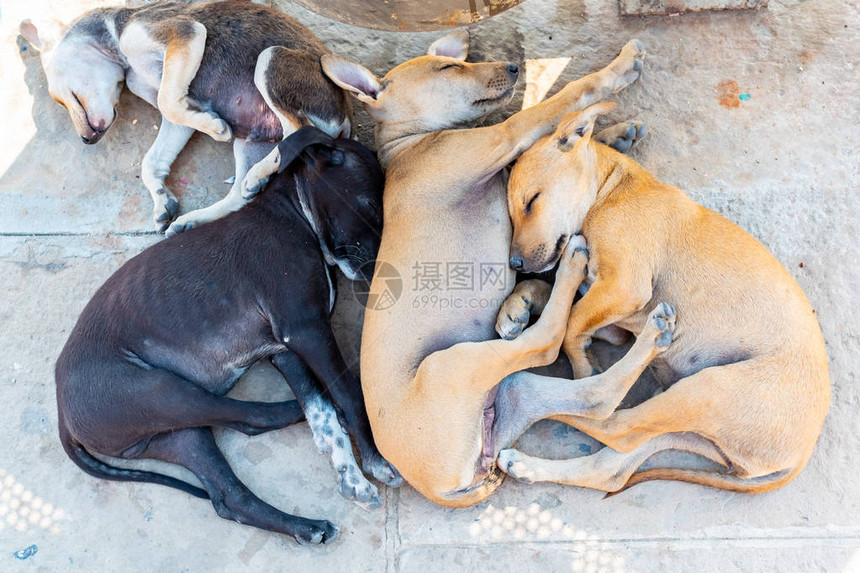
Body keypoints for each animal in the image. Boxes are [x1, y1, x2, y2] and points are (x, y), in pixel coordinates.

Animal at [20, 0, 350, 232]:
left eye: (59, 98)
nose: (86, 140)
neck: (116, 38)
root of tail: (344, 117)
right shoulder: (180, 110)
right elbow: (153, 158)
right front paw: (161, 202)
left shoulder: (185, 33)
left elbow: (167, 102)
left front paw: (215, 127)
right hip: (250, 141)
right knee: (240, 194)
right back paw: (196, 218)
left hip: (270, 61)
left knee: (298, 129)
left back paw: (258, 173)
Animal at [53, 127, 400, 544]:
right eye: (371, 204)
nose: (377, 276)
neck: (294, 215)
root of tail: (62, 414)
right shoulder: (305, 330)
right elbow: (345, 394)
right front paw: (374, 460)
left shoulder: (285, 350)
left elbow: (321, 413)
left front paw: (350, 475)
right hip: (158, 391)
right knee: (248, 416)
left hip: (175, 436)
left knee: (229, 495)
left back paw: (304, 526)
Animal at [322, 32, 652, 504]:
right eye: (446, 69)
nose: (513, 68)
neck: (411, 144)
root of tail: (440, 488)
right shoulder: (503, 137)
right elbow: (563, 100)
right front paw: (620, 70)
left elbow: (559, 139)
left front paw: (615, 134)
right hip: (455, 364)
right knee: (548, 341)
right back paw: (570, 269)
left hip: (512, 391)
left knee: (594, 395)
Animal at [498, 103, 832, 496]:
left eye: (531, 201)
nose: (515, 264)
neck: (610, 190)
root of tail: (801, 455)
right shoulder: (615, 315)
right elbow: (561, 301)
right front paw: (516, 307)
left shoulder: (624, 287)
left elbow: (572, 323)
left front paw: (581, 363)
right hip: (690, 429)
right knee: (613, 461)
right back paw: (525, 465)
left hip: (706, 388)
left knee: (609, 417)